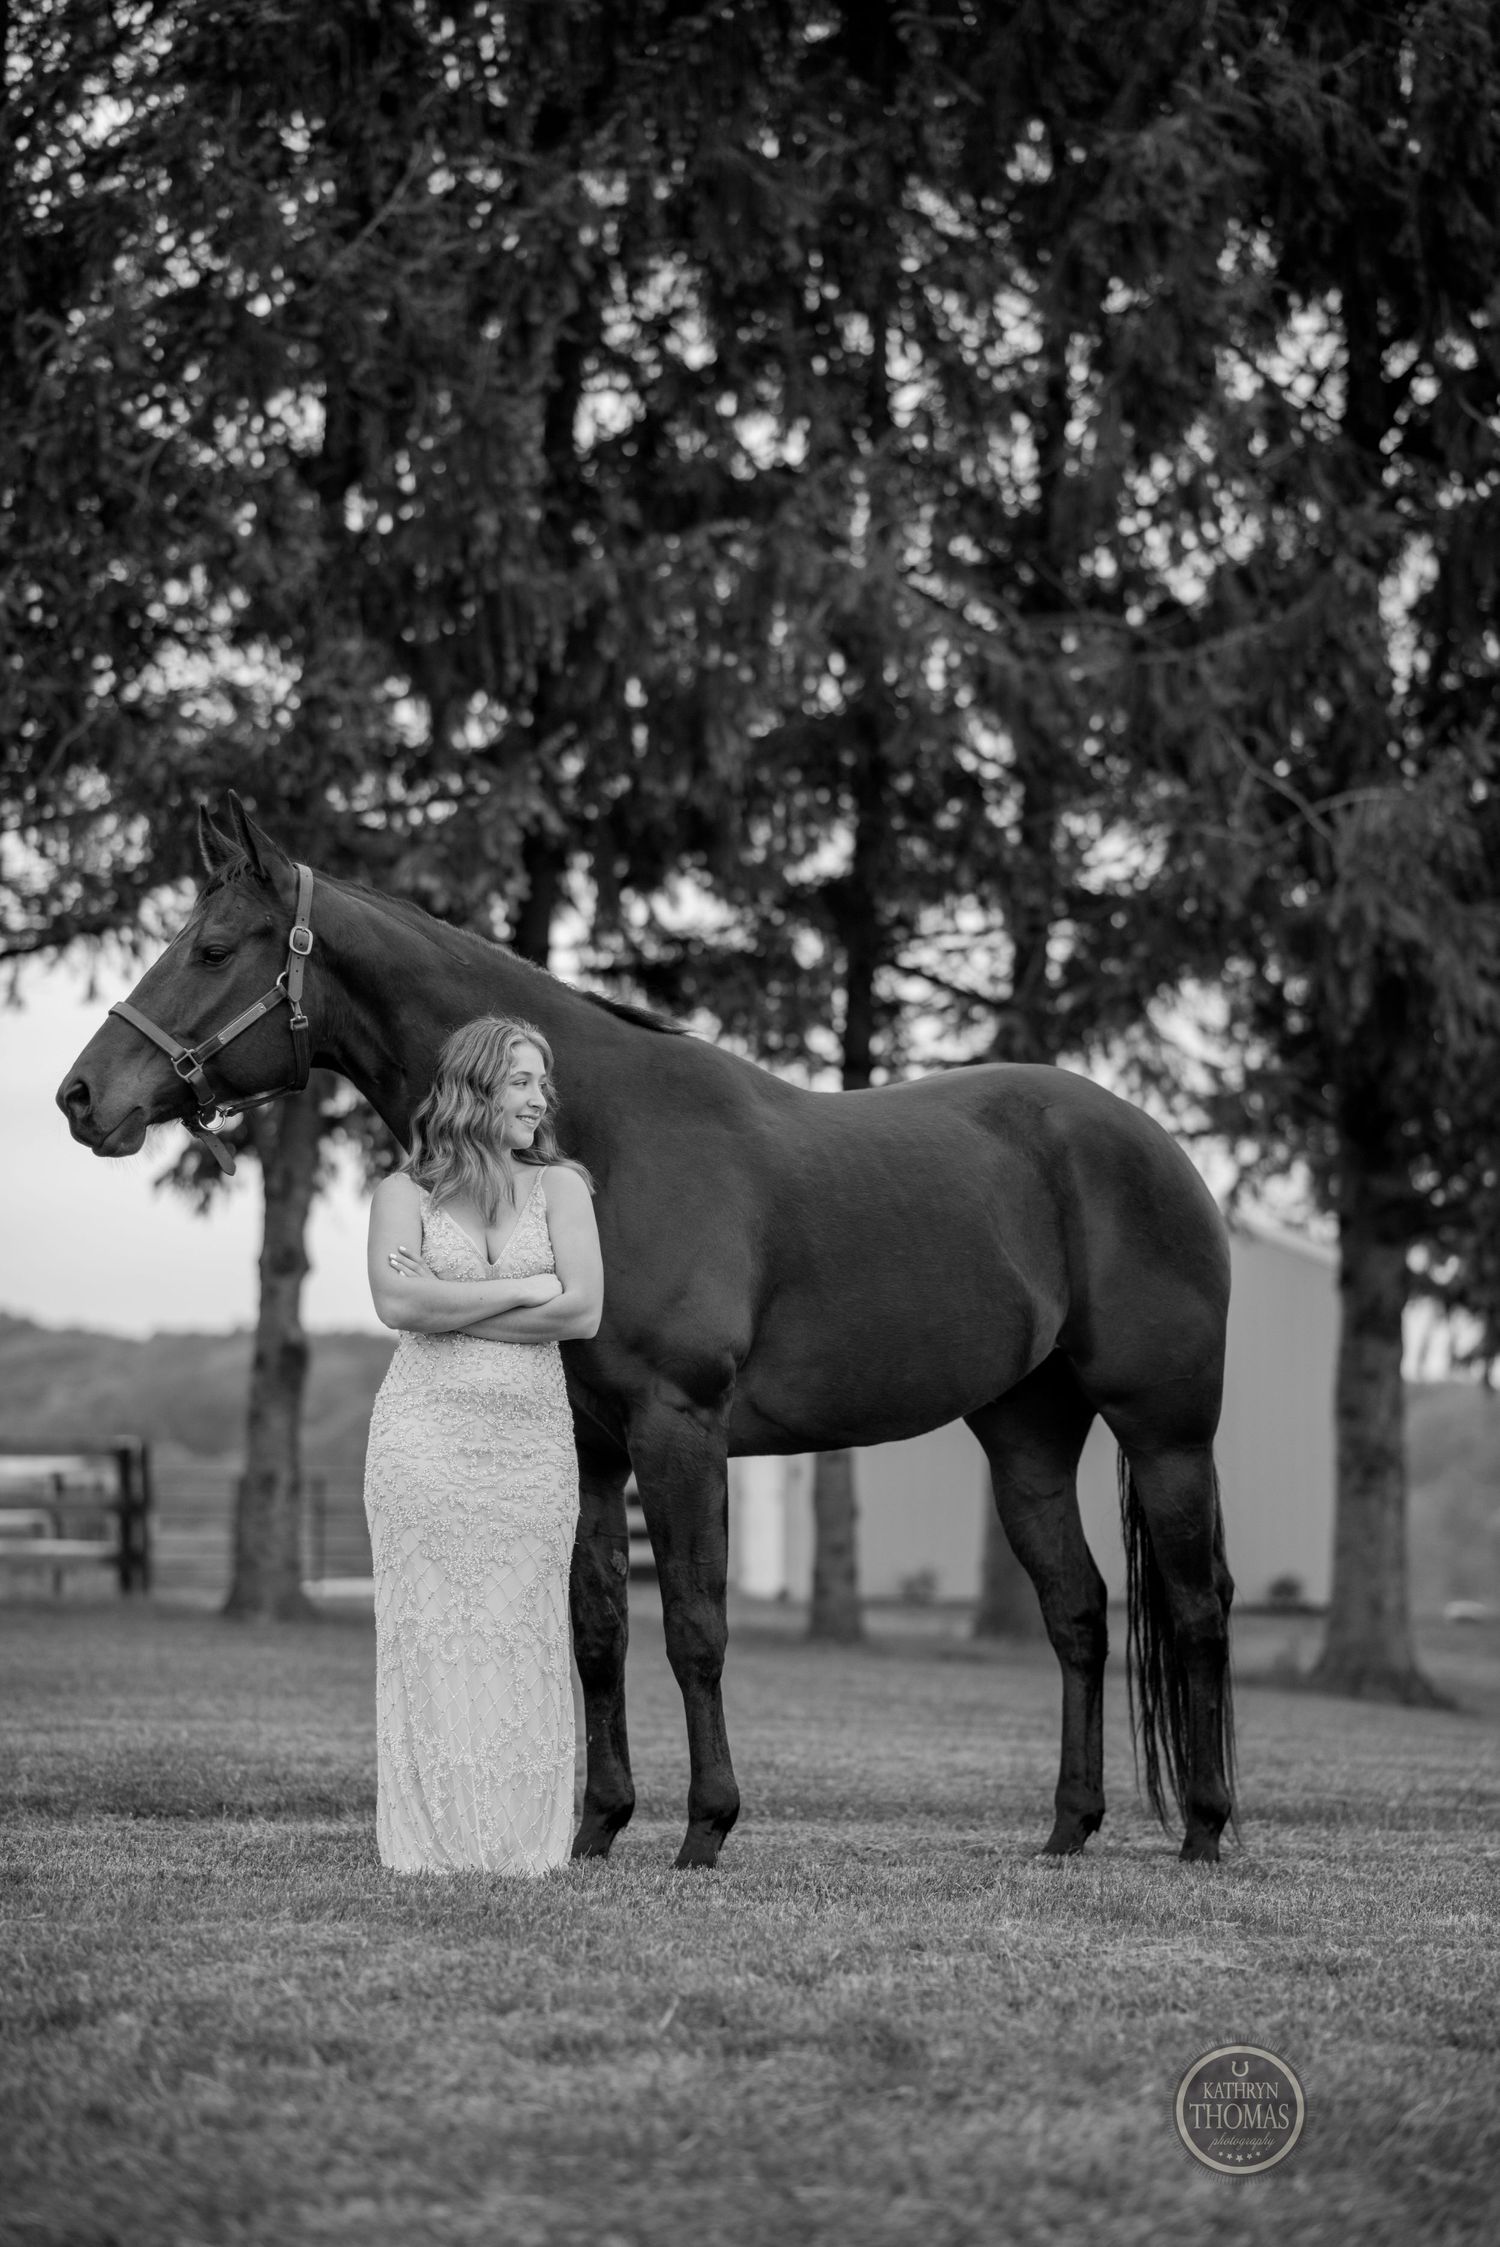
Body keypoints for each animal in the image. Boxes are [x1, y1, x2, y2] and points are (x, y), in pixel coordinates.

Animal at [57, 795, 1236, 1867]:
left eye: (213, 948)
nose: (81, 1096)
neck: (605, 1138)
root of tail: (1158, 1146)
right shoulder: (595, 1443)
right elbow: (598, 1627)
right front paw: (597, 1827)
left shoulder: (682, 1427)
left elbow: (694, 1624)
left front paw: (705, 1827)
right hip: (1026, 1432)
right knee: (1079, 1611)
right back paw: (1068, 1828)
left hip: (1165, 1430)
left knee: (1195, 1603)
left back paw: (1206, 1828)